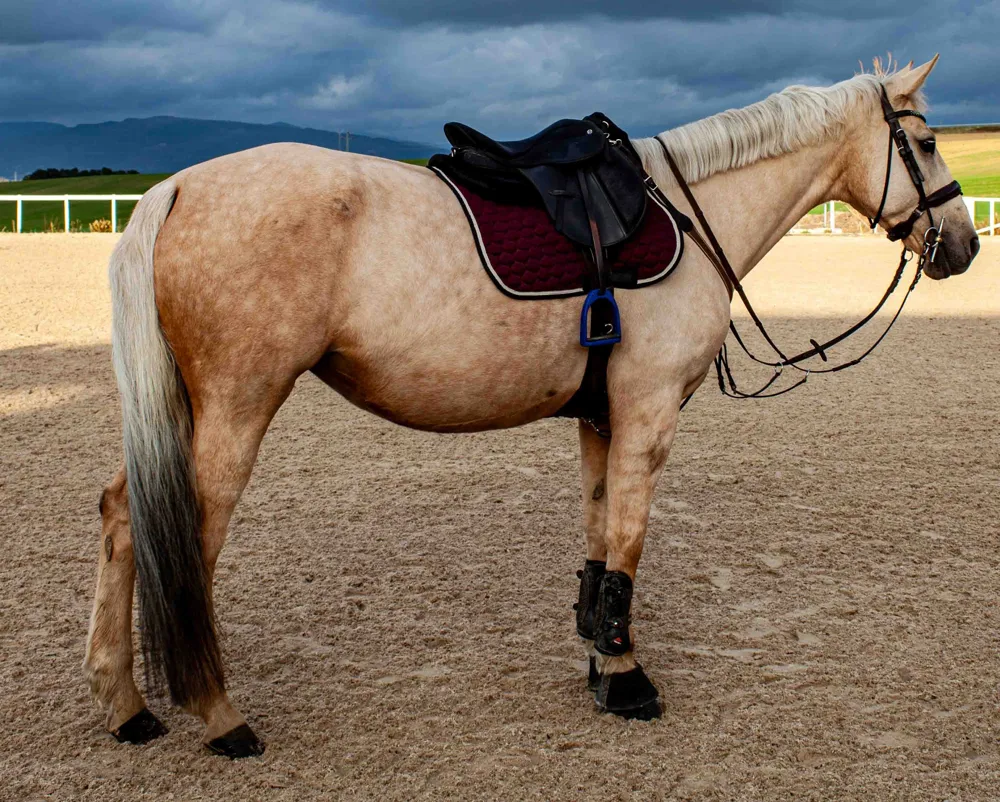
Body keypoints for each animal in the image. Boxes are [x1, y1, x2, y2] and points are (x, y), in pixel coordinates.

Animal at [83, 57, 978, 757]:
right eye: (929, 141)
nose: (965, 245)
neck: (691, 214)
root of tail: (176, 186)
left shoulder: (601, 416)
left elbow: (598, 536)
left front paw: (599, 654)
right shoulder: (648, 413)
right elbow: (629, 538)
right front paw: (626, 678)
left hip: (185, 408)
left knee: (123, 516)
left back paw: (123, 703)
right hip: (238, 405)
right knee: (190, 540)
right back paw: (218, 714)